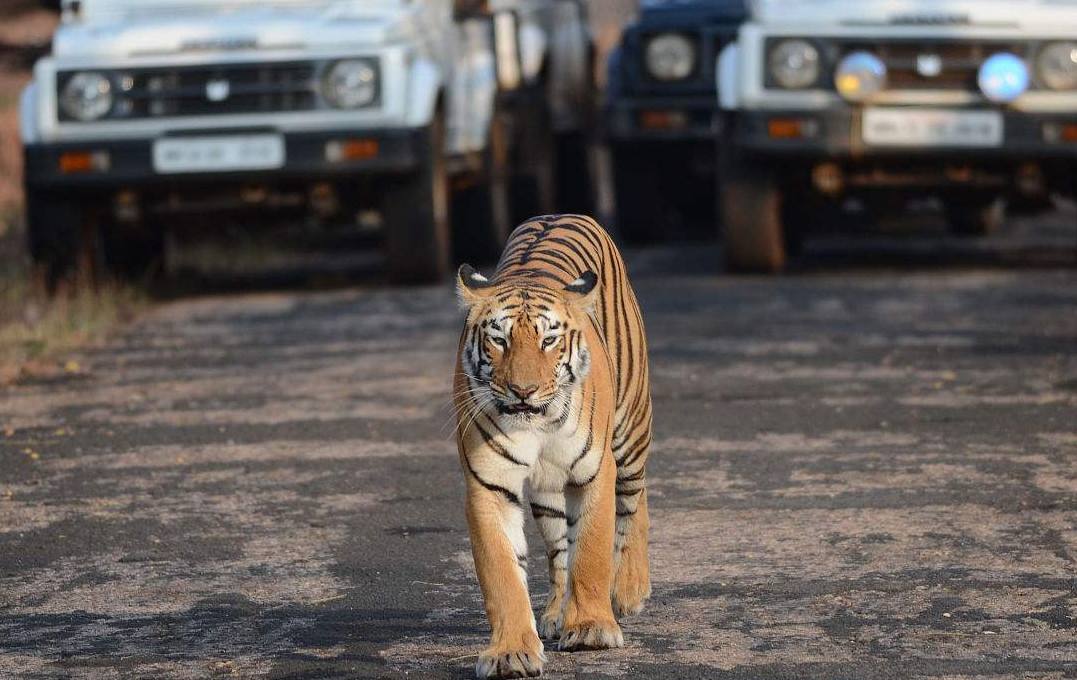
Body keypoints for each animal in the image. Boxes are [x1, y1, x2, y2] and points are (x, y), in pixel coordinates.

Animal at [452, 215, 650, 676]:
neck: (538, 425)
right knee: (560, 549)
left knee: (635, 500)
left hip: (630, 431)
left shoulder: (594, 471)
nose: (523, 390)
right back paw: (558, 613)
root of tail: (562, 214)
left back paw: (630, 589)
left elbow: (592, 552)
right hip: (547, 488)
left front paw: (592, 628)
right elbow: (503, 573)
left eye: (548, 340)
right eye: (500, 340)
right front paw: (510, 652)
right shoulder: (489, 484)